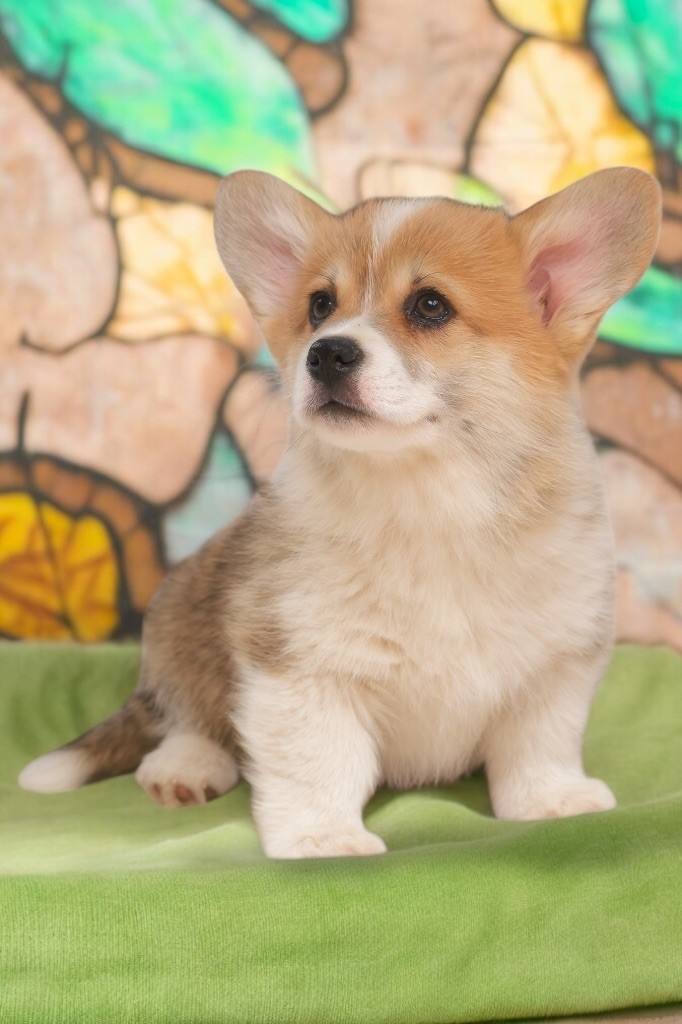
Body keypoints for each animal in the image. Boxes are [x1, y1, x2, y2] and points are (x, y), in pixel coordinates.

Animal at [19, 167, 661, 859]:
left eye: (430, 306)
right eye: (320, 306)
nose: (326, 353)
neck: (427, 499)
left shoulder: (556, 662)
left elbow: (539, 745)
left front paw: (551, 802)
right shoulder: (299, 664)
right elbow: (319, 761)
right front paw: (321, 839)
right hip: (181, 614)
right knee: (186, 714)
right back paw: (185, 766)